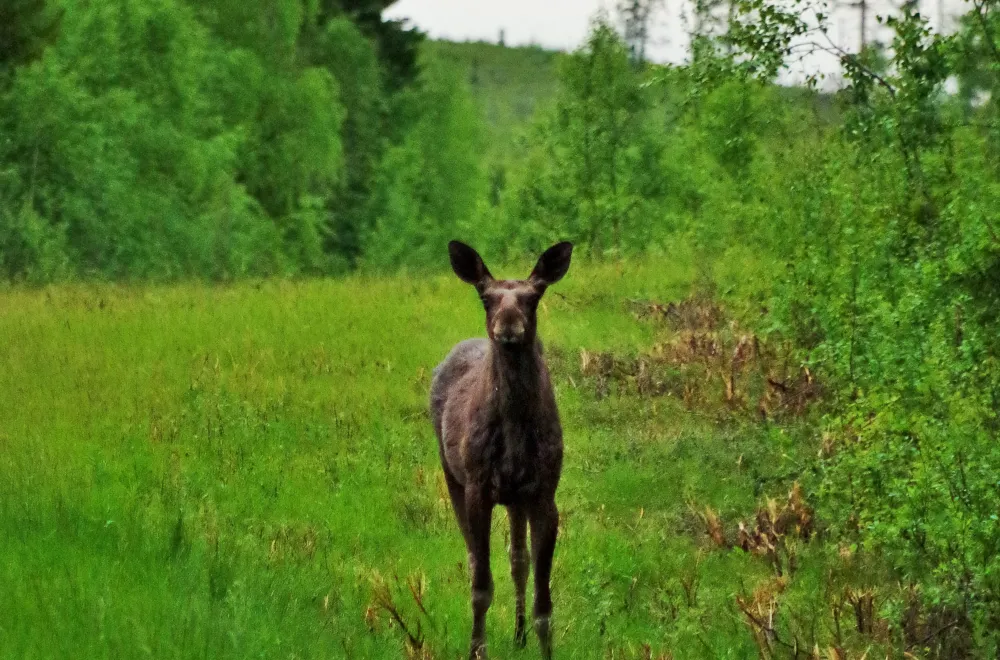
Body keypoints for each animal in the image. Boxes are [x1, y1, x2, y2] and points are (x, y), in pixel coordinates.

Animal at [428, 240, 572, 656]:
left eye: (534, 296)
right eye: (485, 297)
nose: (508, 324)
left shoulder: (543, 494)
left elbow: (544, 603)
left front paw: (543, 648)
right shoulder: (478, 489)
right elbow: (481, 587)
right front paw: (477, 650)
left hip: (515, 498)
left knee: (517, 560)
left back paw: (519, 635)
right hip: (453, 475)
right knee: (476, 559)